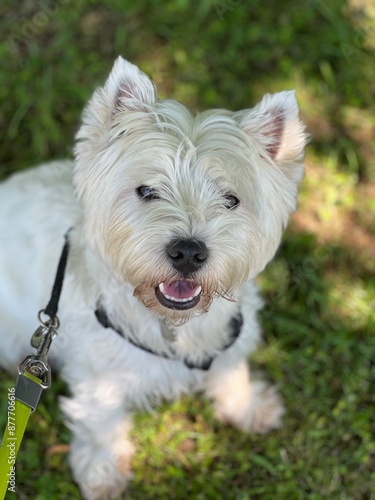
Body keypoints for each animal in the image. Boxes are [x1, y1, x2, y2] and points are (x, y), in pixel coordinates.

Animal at [0, 56, 308, 498]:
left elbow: (231, 372)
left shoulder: (229, 334)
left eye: (231, 199)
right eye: (147, 191)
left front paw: (247, 408)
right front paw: (103, 472)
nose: (188, 252)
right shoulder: (100, 377)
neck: (173, 327)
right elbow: (101, 423)